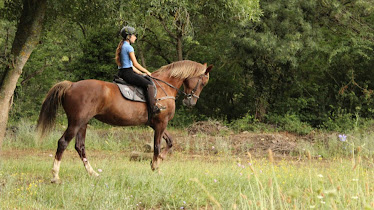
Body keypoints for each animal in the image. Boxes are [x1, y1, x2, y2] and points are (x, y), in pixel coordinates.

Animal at [37, 60, 213, 183]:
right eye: (203, 82)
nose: (191, 103)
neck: (164, 87)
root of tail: (71, 85)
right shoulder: (161, 123)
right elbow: (157, 146)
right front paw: (156, 167)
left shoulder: (156, 124)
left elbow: (170, 142)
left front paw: (157, 162)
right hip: (76, 122)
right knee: (63, 143)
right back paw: (55, 176)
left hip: (83, 123)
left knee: (80, 147)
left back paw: (92, 173)